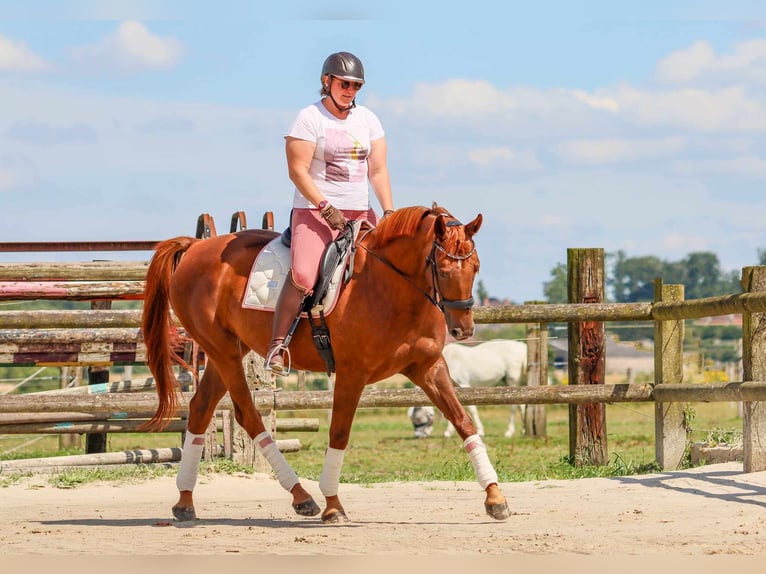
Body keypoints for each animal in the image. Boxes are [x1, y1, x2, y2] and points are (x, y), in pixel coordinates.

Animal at [141, 205, 512, 524]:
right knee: (247, 413)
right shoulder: (352, 373)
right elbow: (339, 433)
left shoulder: (428, 367)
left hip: (227, 351)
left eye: (476, 267)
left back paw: (185, 502)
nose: (463, 330)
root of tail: (196, 247)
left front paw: (495, 497)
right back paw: (302, 496)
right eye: (444, 270)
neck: (390, 285)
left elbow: (464, 422)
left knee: (201, 408)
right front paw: (333, 505)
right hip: (223, 351)